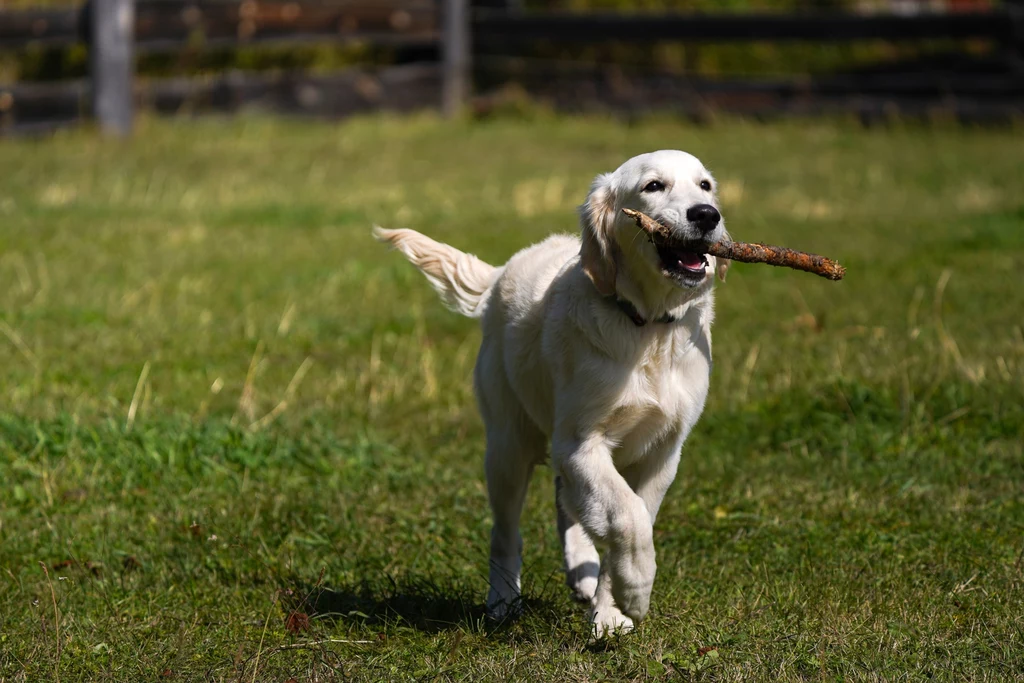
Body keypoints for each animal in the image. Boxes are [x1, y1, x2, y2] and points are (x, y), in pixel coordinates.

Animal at [376, 149, 729, 634]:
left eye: (705, 186)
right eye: (653, 186)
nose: (707, 215)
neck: (648, 327)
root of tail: (499, 274)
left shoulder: (663, 451)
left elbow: (632, 513)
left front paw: (611, 608)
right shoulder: (581, 440)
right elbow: (628, 517)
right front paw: (636, 591)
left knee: (569, 503)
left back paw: (583, 570)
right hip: (508, 445)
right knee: (506, 531)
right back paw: (503, 598)